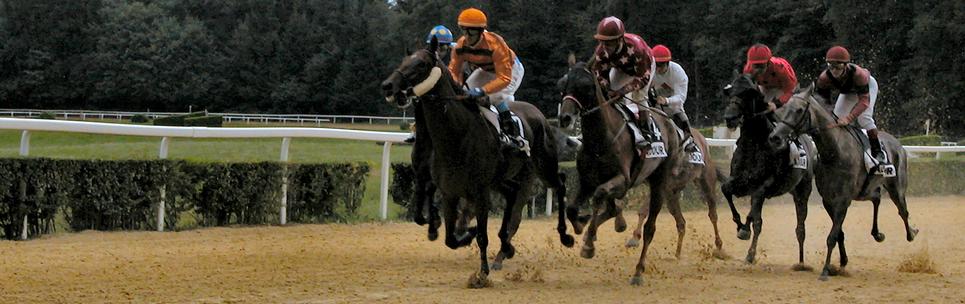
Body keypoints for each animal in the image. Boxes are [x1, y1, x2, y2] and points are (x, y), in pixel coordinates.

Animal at [378, 38, 572, 288]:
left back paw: (564, 235)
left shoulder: (480, 192)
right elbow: (450, 238)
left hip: (540, 167)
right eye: (403, 61)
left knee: (557, 186)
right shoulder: (448, 190)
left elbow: (481, 235)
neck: (456, 135)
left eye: (421, 64)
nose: (388, 86)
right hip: (502, 178)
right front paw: (458, 233)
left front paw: (481, 274)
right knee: (512, 198)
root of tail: (540, 115)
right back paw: (505, 247)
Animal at [552, 57, 704, 284]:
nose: (565, 118)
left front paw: (588, 244)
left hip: (660, 181)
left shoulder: (622, 180)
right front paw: (581, 226)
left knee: (650, 227)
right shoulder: (586, 180)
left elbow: (600, 195)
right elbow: (572, 208)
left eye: (586, 86)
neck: (601, 139)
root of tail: (667, 122)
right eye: (563, 84)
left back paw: (638, 272)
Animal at [724, 72, 812, 268]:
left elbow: (756, 216)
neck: (755, 142)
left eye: (747, 94)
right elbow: (725, 190)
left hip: (803, 190)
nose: (730, 117)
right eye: (730, 91)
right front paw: (740, 225)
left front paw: (746, 236)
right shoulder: (738, 180)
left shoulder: (765, 185)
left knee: (801, 226)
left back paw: (801, 262)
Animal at [768, 84, 920, 282]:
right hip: (865, 191)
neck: (834, 151)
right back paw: (877, 233)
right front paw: (841, 263)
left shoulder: (843, 200)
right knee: (876, 198)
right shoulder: (828, 200)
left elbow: (832, 236)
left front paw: (826, 270)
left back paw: (911, 233)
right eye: (784, 109)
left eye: (799, 110)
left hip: (896, 186)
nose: (775, 137)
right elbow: (838, 232)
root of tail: (898, 143)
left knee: (903, 211)